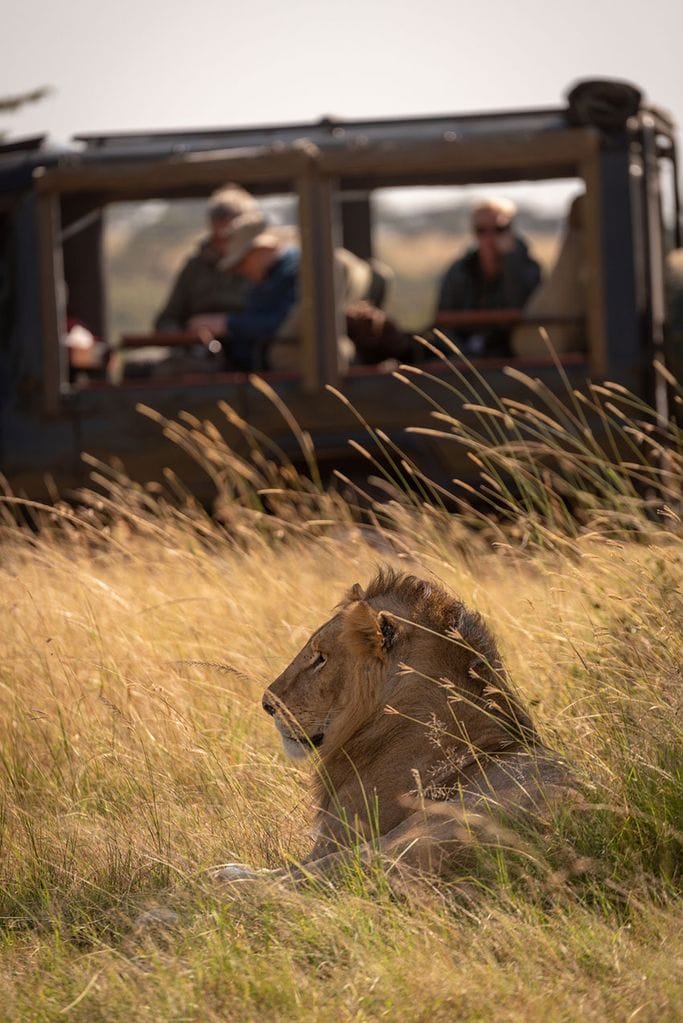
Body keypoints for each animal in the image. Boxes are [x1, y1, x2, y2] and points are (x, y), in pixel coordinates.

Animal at [215, 572, 572, 883]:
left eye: (320, 658)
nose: (267, 704)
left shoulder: (337, 838)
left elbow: (287, 868)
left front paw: (230, 872)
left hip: (418, 830)